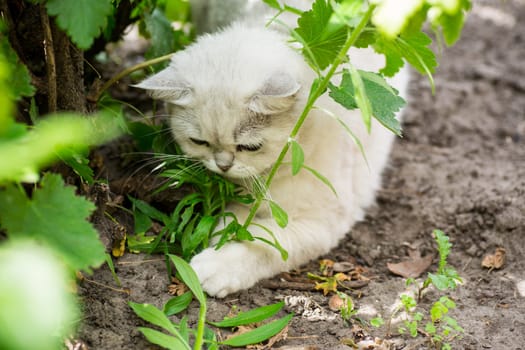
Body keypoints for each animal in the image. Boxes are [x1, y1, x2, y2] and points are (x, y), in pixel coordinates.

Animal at [135, 2, 410, 298]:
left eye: (249, 146)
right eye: (200, 142)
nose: (222, 165)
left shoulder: (322, 220)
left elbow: (264, 241)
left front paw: (217, 266)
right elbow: (235, 222)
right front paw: (219, 238)